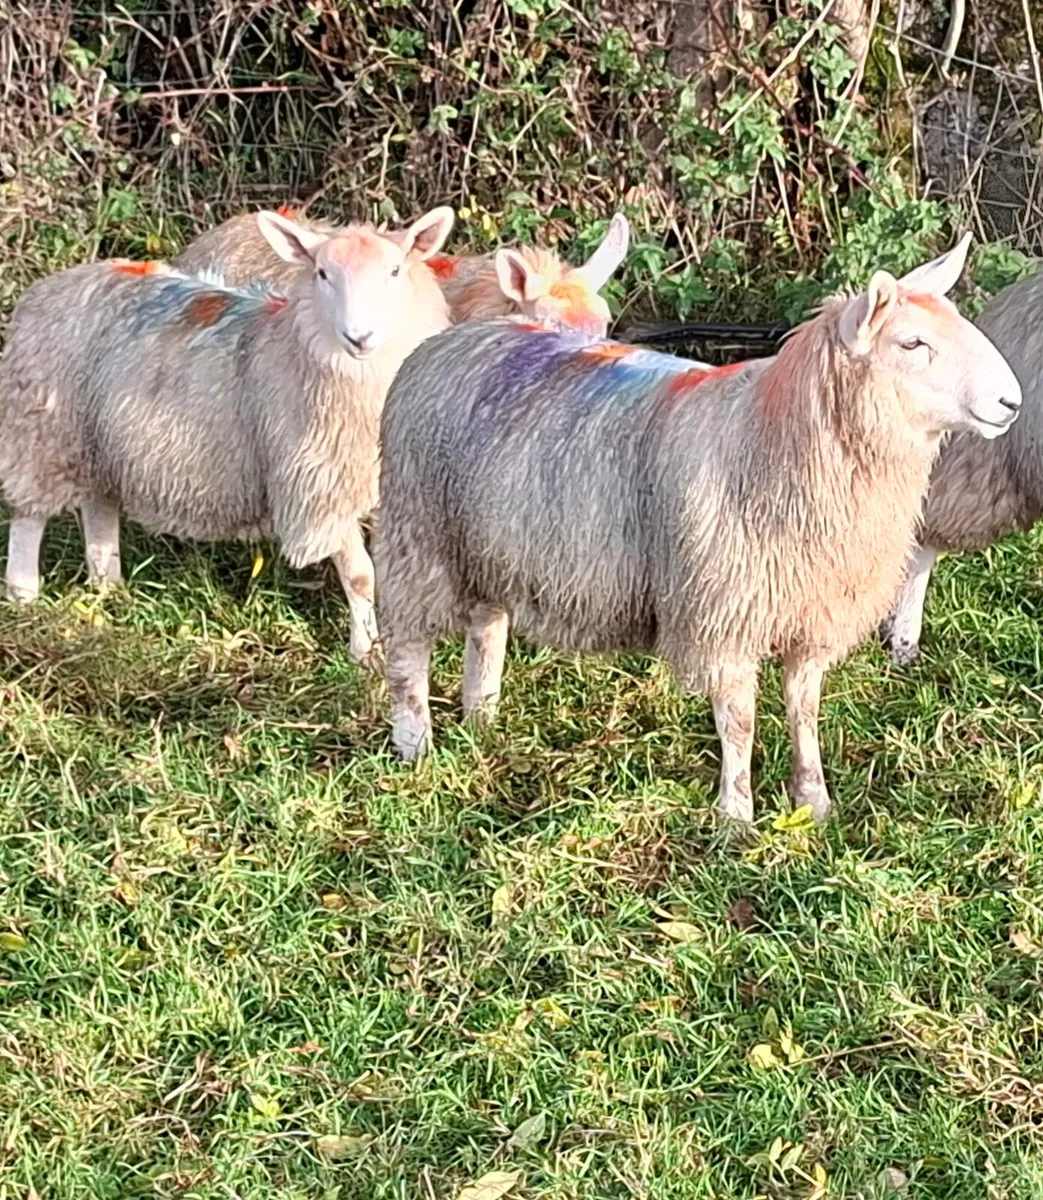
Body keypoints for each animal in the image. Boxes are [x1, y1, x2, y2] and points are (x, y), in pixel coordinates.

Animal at [0, 206, 454, 669]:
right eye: (323, 273)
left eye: (395, 271)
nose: (360, 338)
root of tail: (50, 285)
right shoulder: (319, 484)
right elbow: (361, 575)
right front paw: (367, 654)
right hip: (42, 434)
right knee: (29, 515)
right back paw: (24, 595)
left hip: (98, 444)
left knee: (98, 507)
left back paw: (109, 587)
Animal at [374, 235, 1021, 823]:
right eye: (911, 342)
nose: (1011, 402)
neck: (772, 440)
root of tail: (457, 336)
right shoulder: (725, 613)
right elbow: (739, 721)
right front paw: (736, 818)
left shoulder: (810, 609)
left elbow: (804, 709)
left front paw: (813, 803)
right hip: (417, 533)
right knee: (407, 647)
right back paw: (415, 745)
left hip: (486, 542)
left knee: (486, 625)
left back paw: (482, 717)